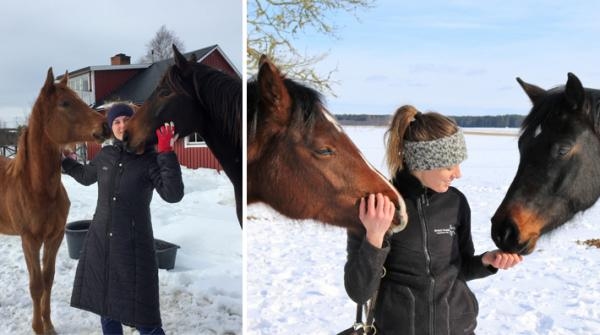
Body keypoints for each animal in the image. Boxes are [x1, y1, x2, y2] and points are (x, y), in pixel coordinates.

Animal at [0, 69, 109, 335]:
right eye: (65, 103)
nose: (105, 126)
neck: (36, 187)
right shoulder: (29, 241)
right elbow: (36, 284)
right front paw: (38, 328)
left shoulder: (55, 237)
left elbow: (48, 279)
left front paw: (49, 325)